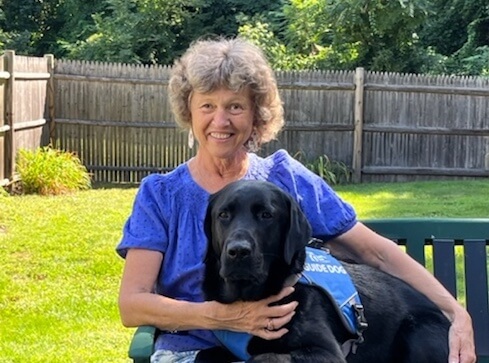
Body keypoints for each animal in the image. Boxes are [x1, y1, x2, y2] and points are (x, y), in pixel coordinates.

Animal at [202, 180, 450, 363]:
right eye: (223, 215)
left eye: (266, 215)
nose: (238, 251)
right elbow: (204, 354)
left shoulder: (326, 352)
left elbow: (268, 357)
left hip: (419, 331)